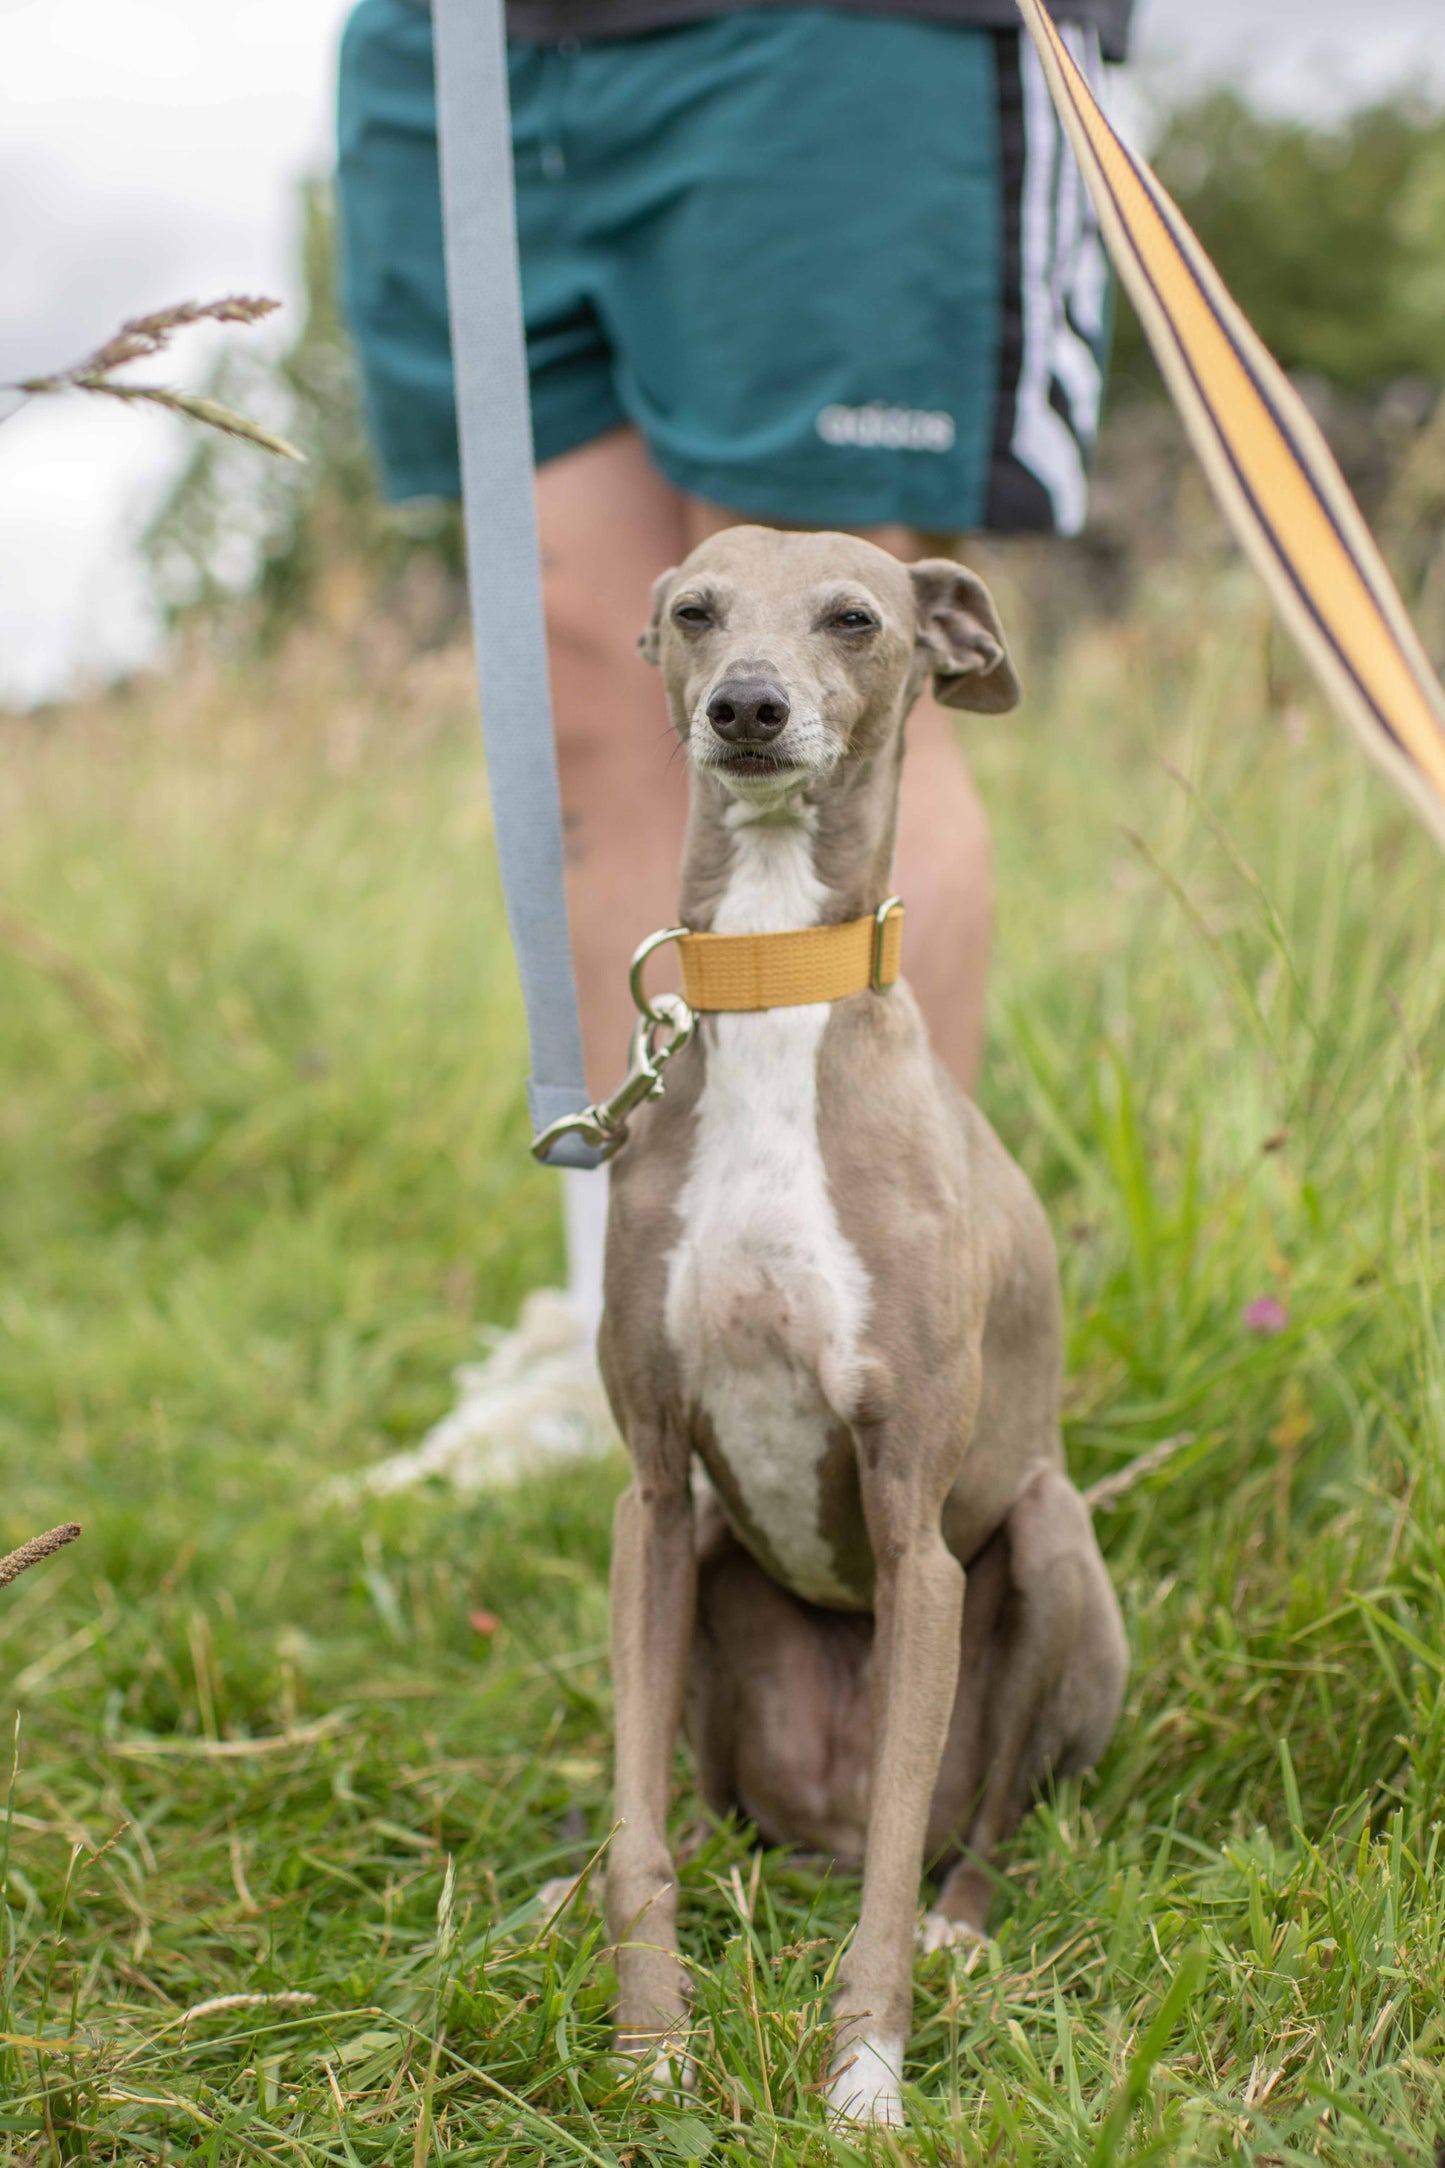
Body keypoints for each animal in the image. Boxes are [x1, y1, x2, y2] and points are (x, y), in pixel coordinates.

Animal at [589, 520, 1126, 2115]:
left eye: (854, 618)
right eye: (695, 612)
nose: (747, 708)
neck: (777, 994)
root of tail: (806, 1824)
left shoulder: (914, 1542)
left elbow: (894, 1871)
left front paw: (866, 2076)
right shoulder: (651, 1492)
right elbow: (633, 1831)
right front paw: (652, 2048)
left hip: (1048, 1549)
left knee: (972, 1827)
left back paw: (962, 1927)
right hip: (709, 1556)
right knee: (694, 1805)